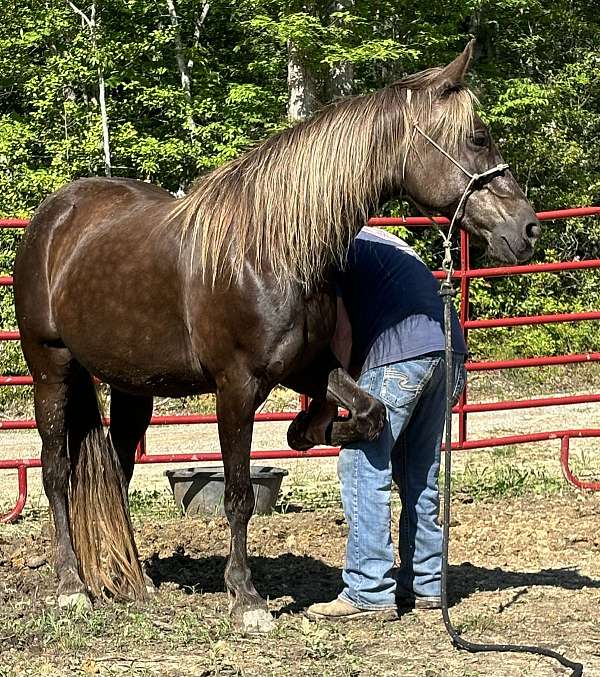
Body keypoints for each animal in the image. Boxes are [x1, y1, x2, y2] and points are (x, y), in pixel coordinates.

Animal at [14, 42, 540, 632]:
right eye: (478, 137)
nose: (527, 229)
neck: (272, 249)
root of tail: (54, 217)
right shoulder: (236, 388)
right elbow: (239, 496)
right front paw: (246, 598)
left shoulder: (307, 368)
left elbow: (370, 413)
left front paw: (314, 431)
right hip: (50, 369)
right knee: (56, 471)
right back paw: (71, 585)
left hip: (133, 387)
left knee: (120, 469)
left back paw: (137, 580)